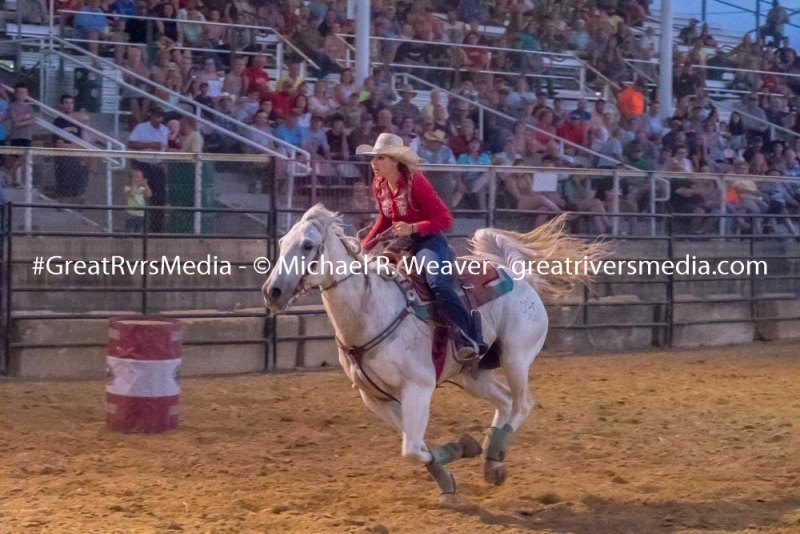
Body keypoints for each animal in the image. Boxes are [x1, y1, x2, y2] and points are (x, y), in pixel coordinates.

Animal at [262, 204, 605, 502]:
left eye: (307, 245)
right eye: (282, 242)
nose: (272, 291)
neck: (371, 311)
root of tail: (515, 275)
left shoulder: (418, 388)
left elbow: (412, 449)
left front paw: (462, 449)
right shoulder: (374, 398)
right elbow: (414, 447)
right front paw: (449, 476)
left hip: (516, 357)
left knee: (522, 403)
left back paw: (494, 455)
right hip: (472, 375)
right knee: (506, 402)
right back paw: (492, 460)